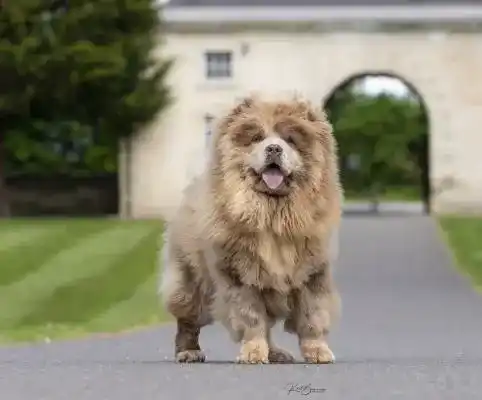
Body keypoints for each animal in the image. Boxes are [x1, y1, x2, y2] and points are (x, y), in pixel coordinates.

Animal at [161, 95, 342, 364]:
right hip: (191, 281)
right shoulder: (240, 274)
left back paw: (277, 354)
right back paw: (188, 352)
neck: (272, 215)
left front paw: (318, 351)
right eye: (257, 138)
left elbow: (312, 316)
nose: (274, 148)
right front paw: (253, 353)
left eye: (290, 140)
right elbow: (252, 319)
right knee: (188, 321)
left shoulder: (312, 272)